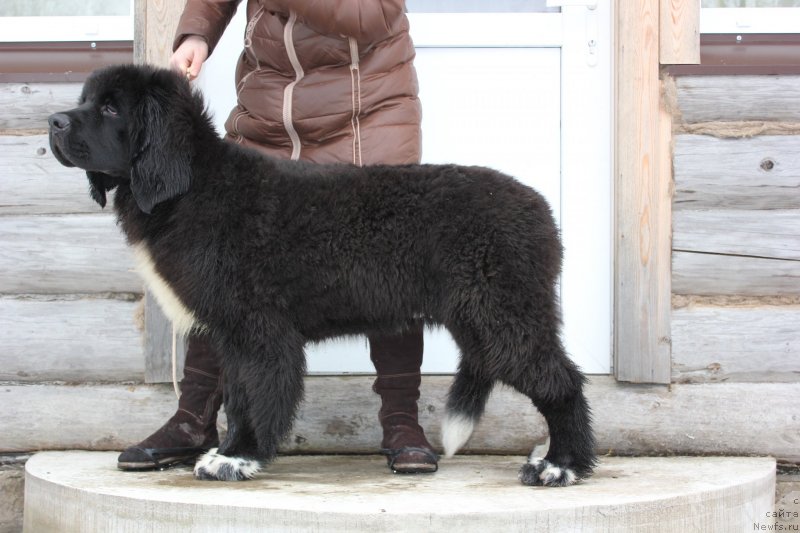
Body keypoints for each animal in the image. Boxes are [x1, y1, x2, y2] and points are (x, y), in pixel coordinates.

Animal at [45, 64, 592, 484]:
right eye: (86, 100)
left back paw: (559, 466)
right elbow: (236, 395)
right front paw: (228, 453)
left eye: (111, 109)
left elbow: (255, 395)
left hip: (504, 316)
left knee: (561, 382)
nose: (53, 121)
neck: (193, 183)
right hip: (481, 319)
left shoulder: (257, 329)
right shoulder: (232, 330)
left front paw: (237, 457)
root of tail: (540, 208)